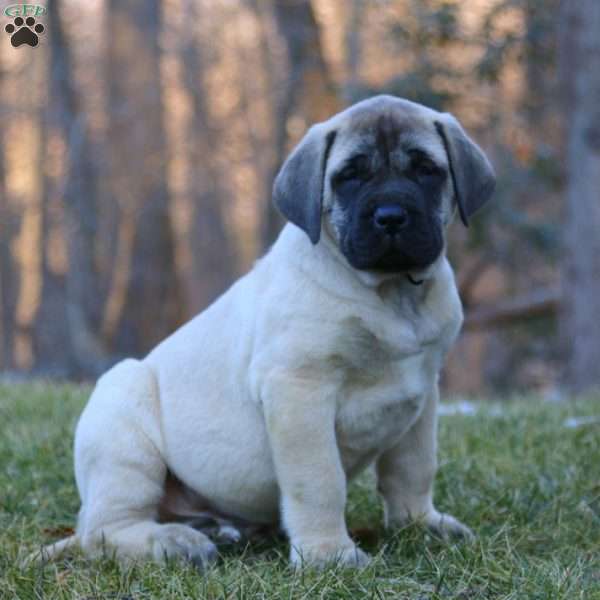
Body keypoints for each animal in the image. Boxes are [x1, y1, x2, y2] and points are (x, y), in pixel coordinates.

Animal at [36, 94, 496, 568]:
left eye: (426, 169)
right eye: (349, 177)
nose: (391, 216)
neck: (392, 293)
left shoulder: (422, 394)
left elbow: (413, 469)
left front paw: (419, 524)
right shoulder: (300, 390)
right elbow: (320, 480)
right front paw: (329, 554)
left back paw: (216, 530)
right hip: (122, 419)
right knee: (105, 531)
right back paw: (174, 542)